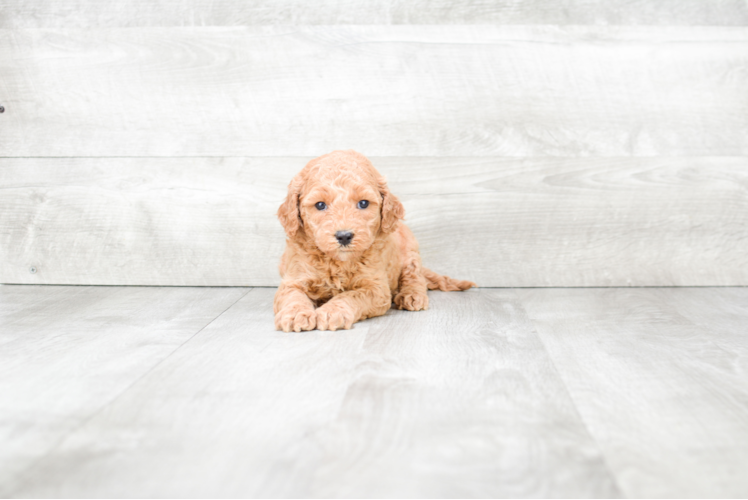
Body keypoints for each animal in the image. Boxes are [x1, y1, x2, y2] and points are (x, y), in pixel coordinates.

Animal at [274, 151, 474, 332]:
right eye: (320, 205)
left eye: (363, 203)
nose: (344, 236)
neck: (338, 262)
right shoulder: (293, 278)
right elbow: (292, 296)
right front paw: (295, 314)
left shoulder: (376, 288)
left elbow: (351, 295)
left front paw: (333, 311)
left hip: (410, 251)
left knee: (415, 276)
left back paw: (412, 296)